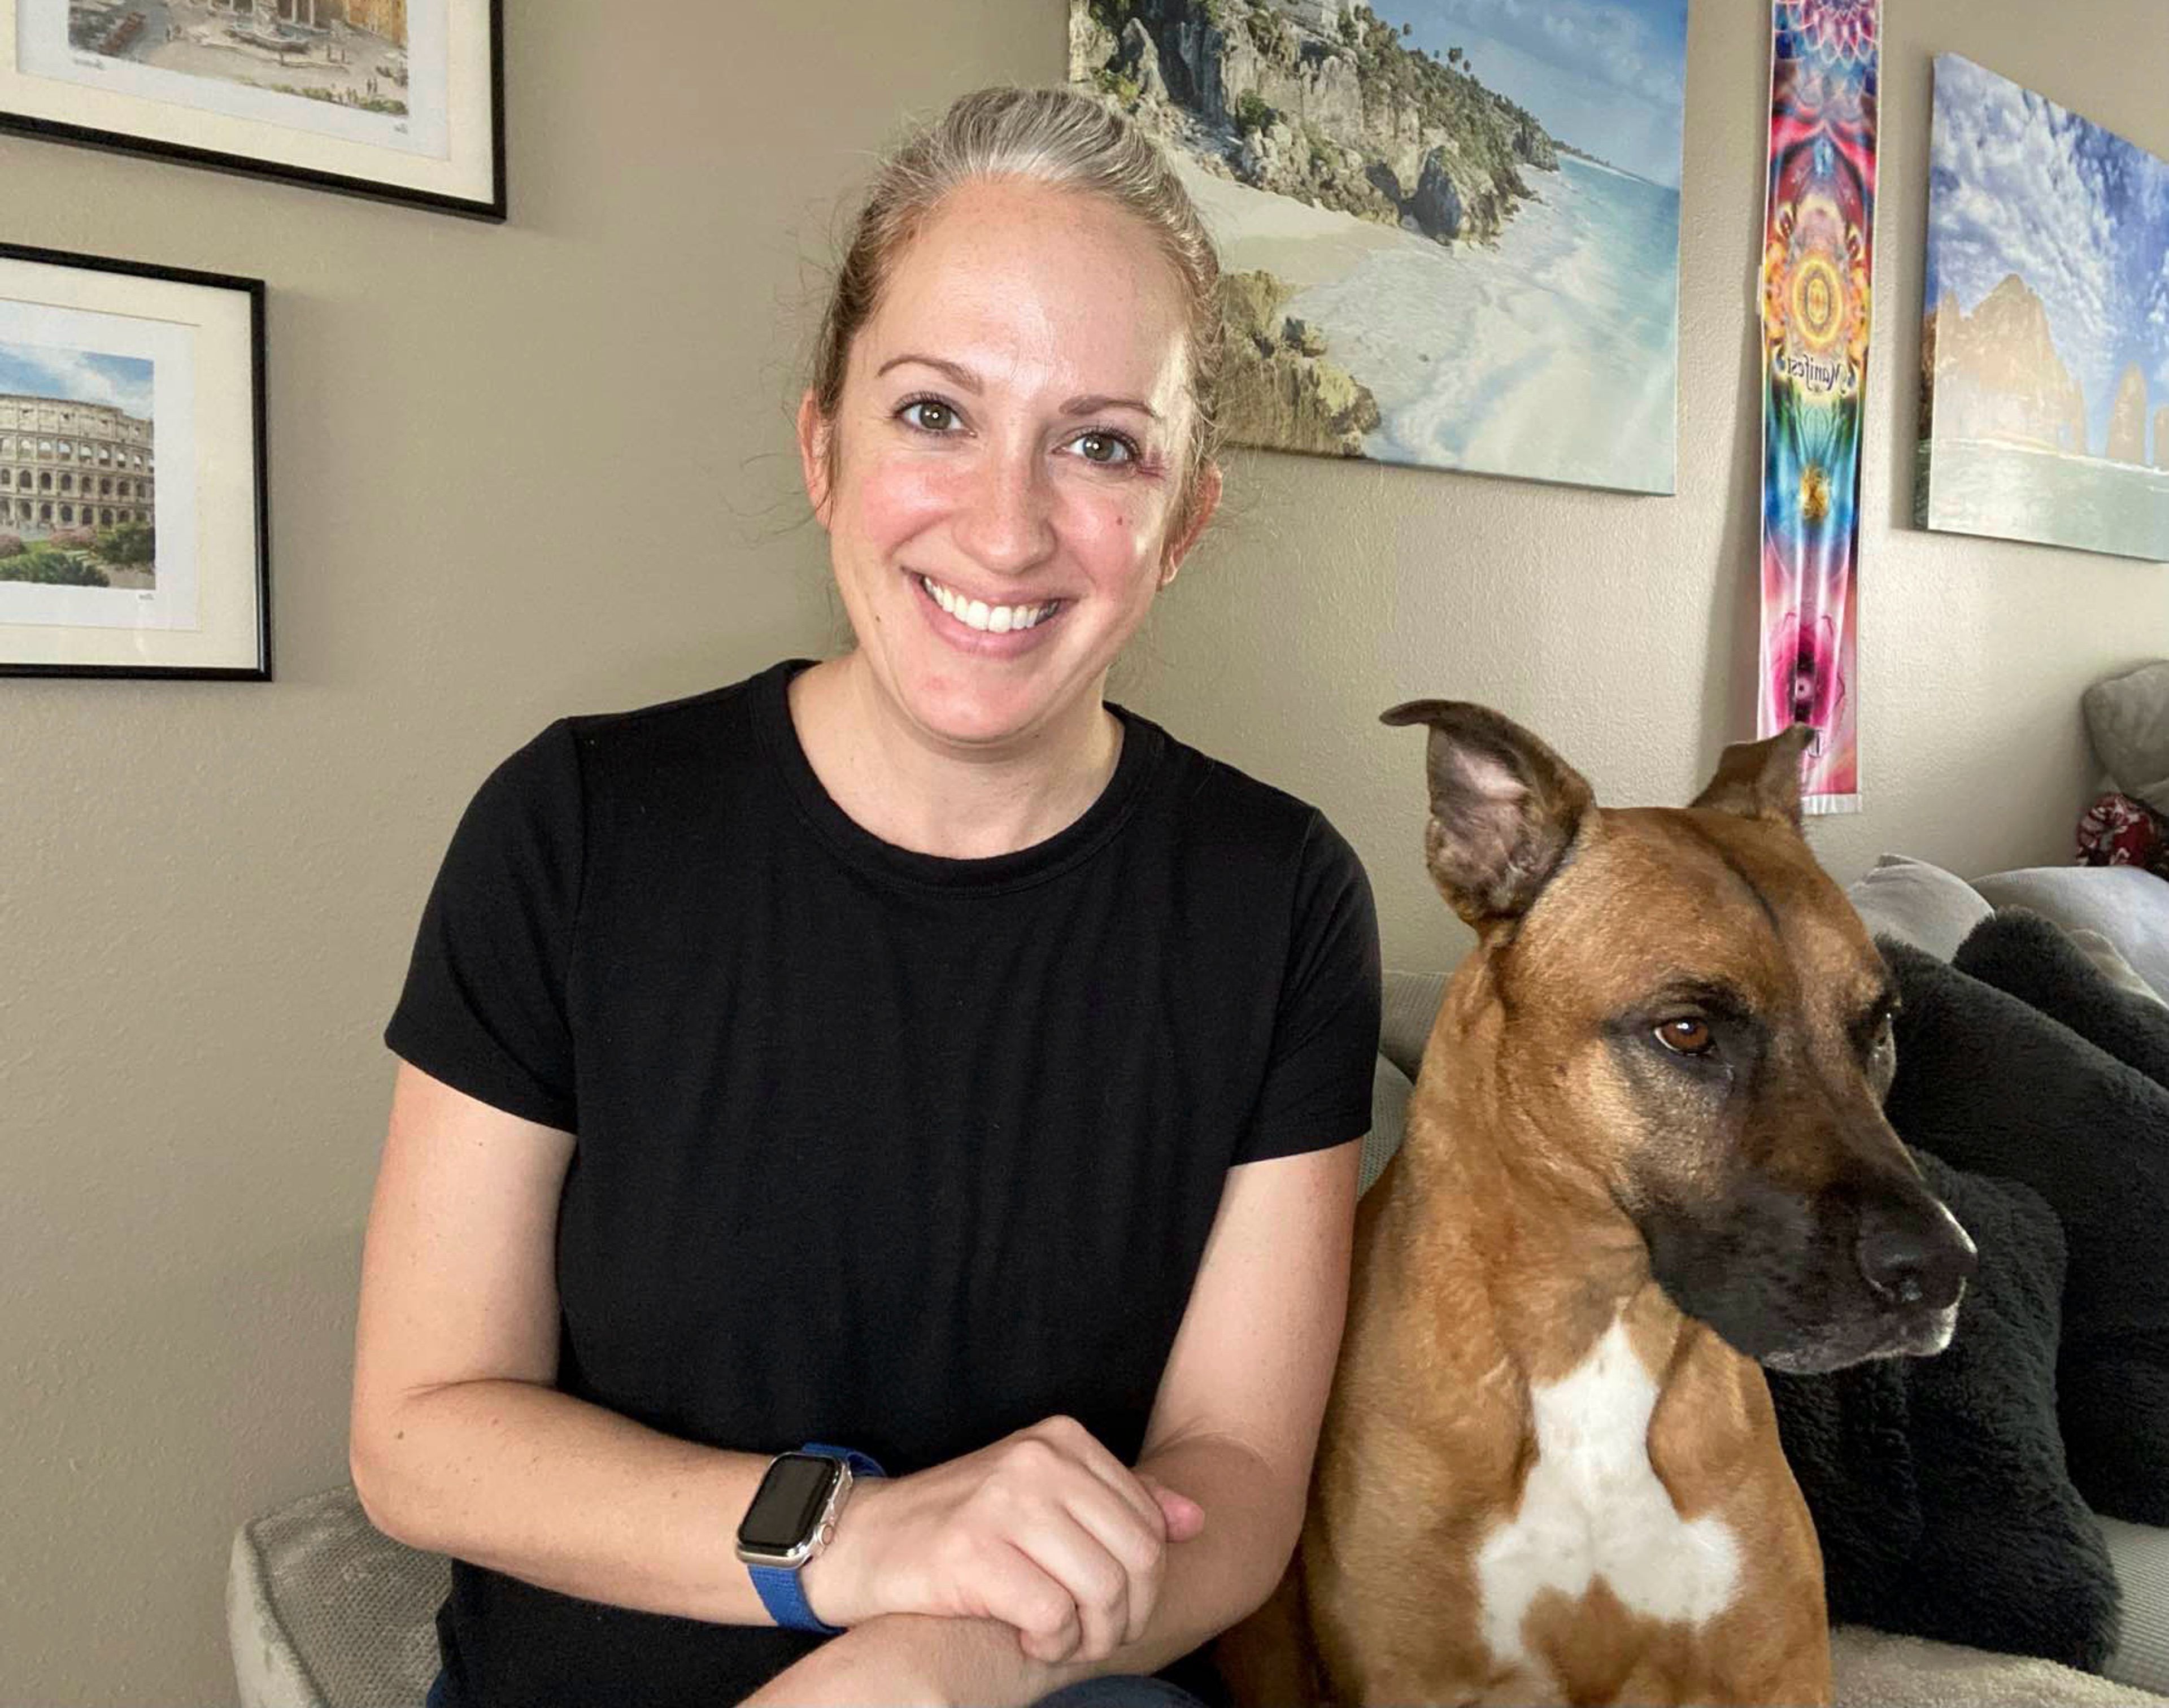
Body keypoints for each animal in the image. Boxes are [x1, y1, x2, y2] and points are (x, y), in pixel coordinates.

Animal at [1232, 702, 1978, 1708]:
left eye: (1880, 1028)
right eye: (1687, 1032)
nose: (1942, 1270)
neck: (1597, 1320)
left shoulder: (1776, 1673)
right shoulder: (1414, 1680)